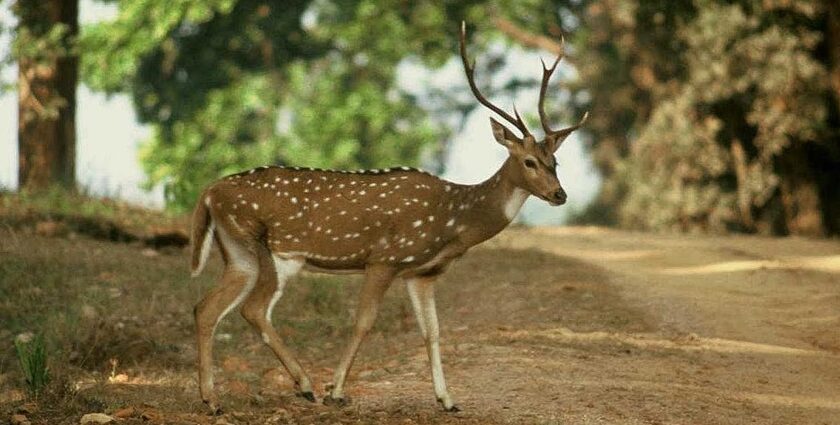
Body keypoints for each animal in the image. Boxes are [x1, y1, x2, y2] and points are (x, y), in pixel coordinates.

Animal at [188, 21, 588, 412]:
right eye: (530, 161)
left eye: (555, 162)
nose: (560, 194)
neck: (453, 220)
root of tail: (209, 192)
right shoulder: (384, 258)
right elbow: (363, 322)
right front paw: (336, 392)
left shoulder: (421, 273)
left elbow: (433, 330)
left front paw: (447, 400)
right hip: (279, 249)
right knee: (253, 309)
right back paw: (305, 387)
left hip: (238, 251)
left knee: (205, 307)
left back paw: (213, 399)